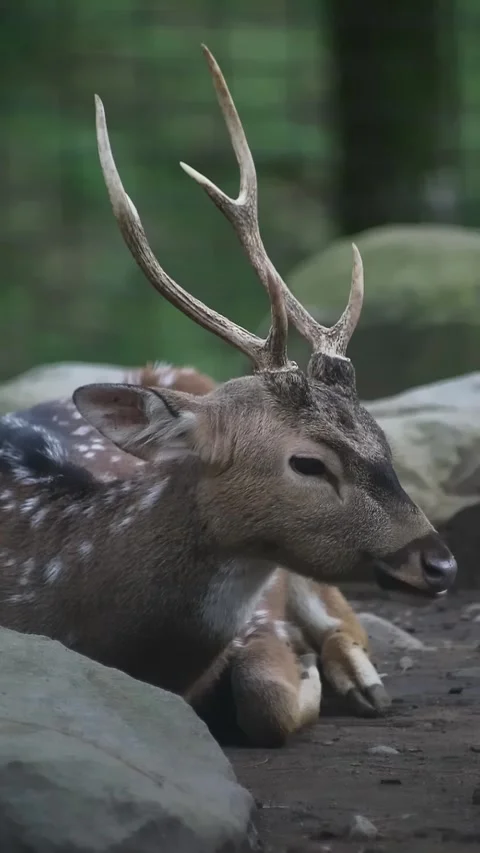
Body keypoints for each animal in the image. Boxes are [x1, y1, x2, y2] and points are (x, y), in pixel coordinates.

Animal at [0, 45, 457, 749]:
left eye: (383, 441)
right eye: (307, 462)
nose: (439, 564)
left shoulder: (262, 617)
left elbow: (266, 699)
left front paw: (311, 675)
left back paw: (359, 679)